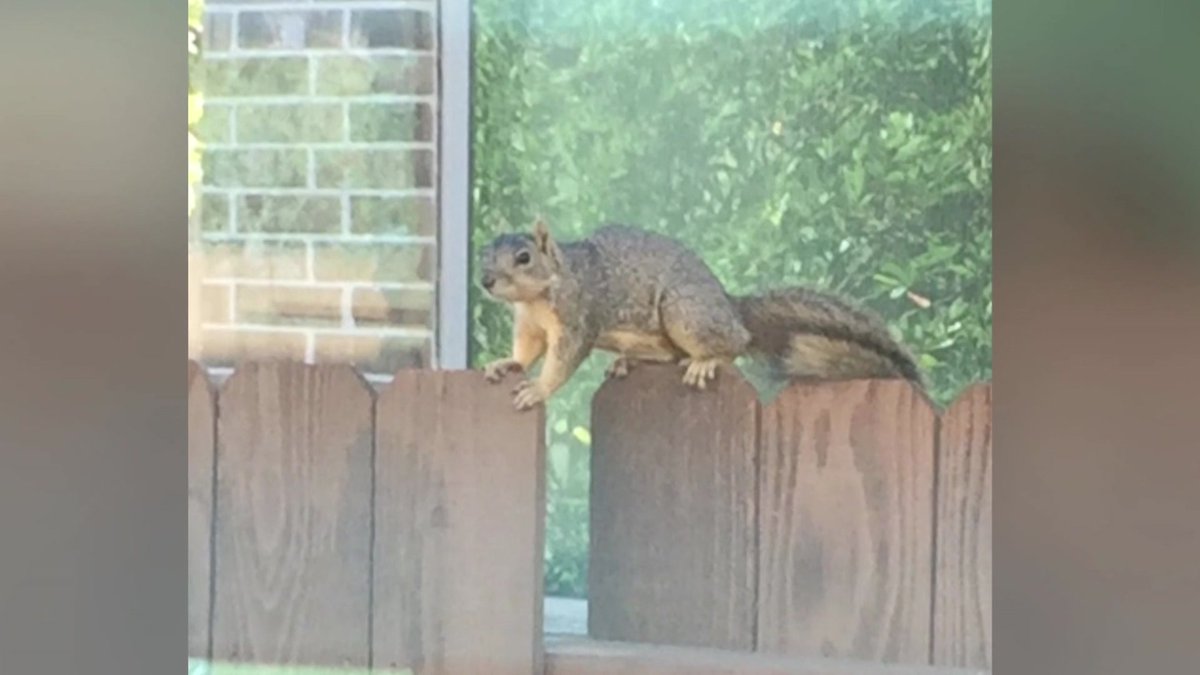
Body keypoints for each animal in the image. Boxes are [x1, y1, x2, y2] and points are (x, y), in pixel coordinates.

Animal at [479, 218, 922, 410]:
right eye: (483, 253)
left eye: (524, 257)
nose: (485, 281)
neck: (539, 295)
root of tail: (729, 305)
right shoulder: (531, 325)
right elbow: (526, 351)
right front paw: (505, 363)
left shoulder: (579, 316)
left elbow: (563, 361)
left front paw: (538, 389)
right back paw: (629, 359)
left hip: (685, 311)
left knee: (734, 343)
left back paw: (706, 361)